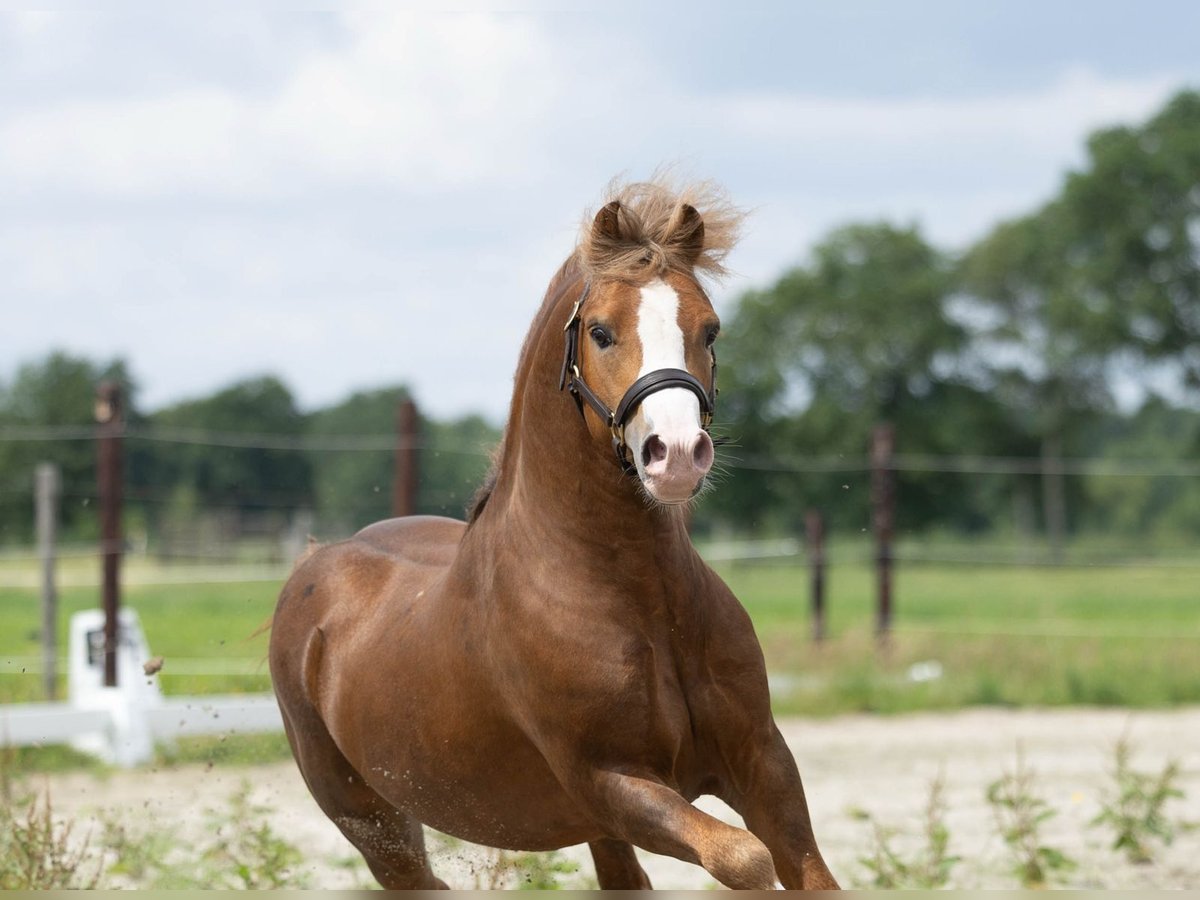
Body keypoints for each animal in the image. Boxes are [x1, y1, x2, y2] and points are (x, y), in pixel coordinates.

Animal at [269, 177, 840, 890]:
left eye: (709, 329)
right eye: (600, 332)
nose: (677, 455)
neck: (641, 598)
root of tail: (317, 565)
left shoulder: (762, 760)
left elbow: (805, 870)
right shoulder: (612, 782)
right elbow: (745, 858)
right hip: (371, 823)